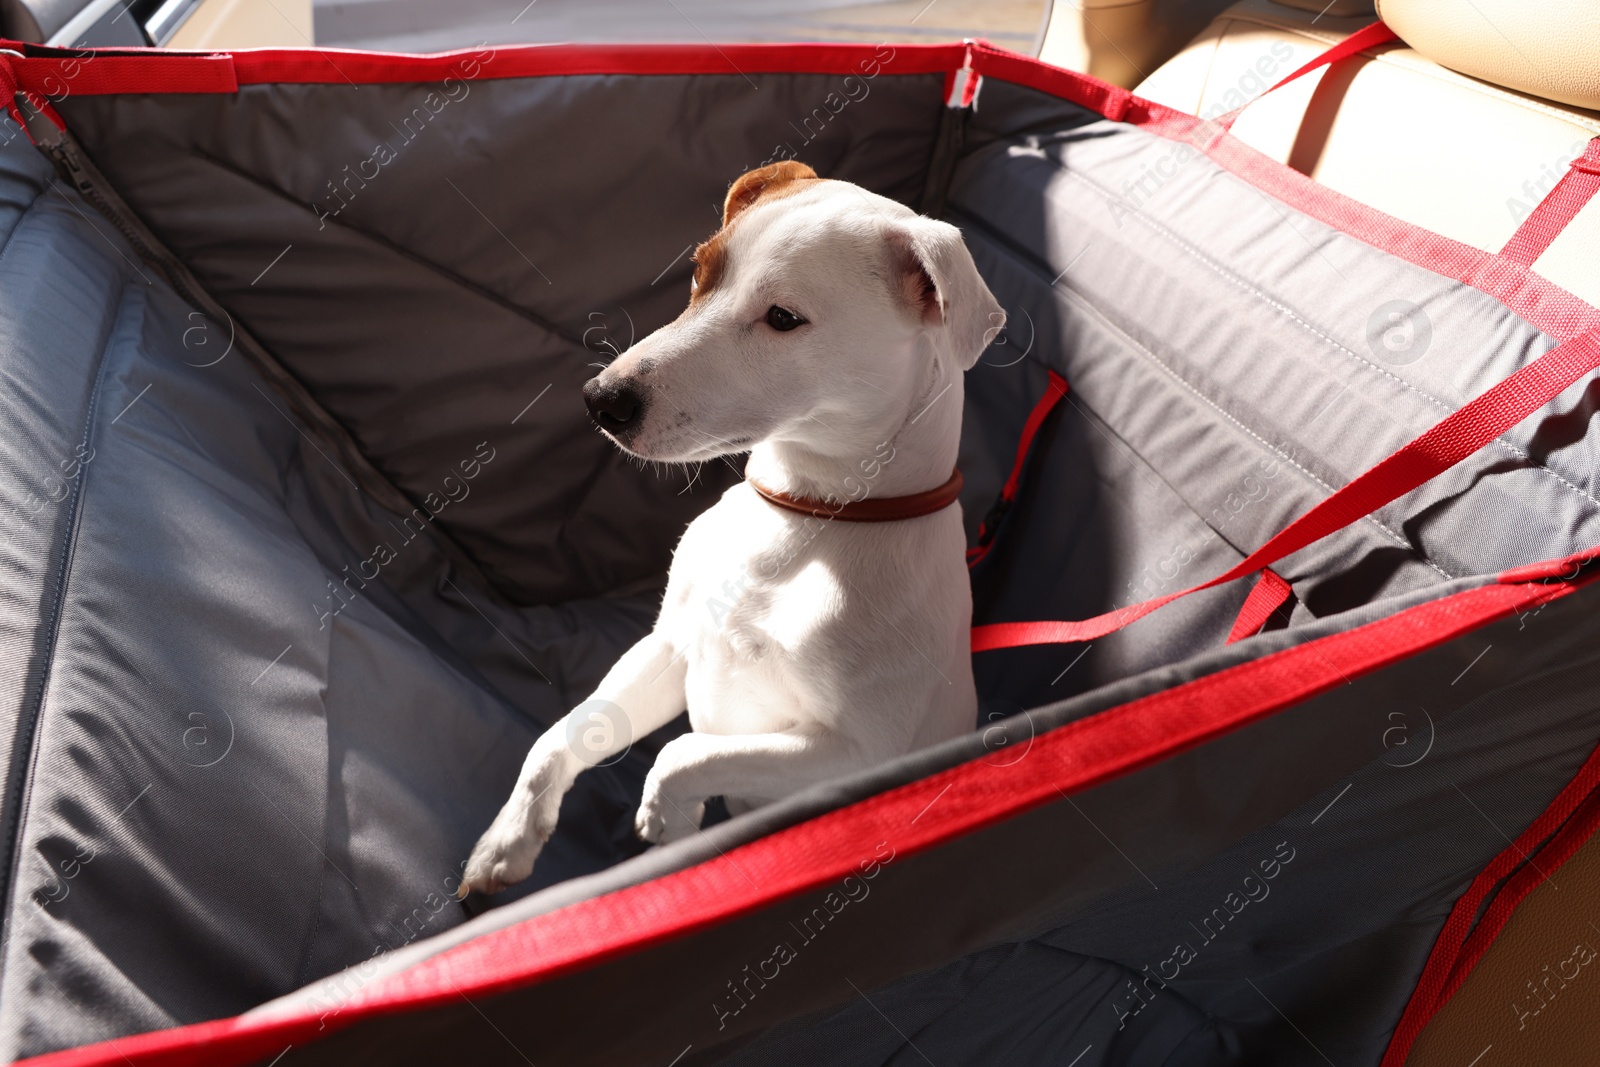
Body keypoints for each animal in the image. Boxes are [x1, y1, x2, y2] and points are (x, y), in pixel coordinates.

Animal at [464, 160, 1004, 895]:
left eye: (783, 318)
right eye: (699, 274)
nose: (602, 399)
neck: (804, 520)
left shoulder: (858, 753)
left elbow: (688, 752)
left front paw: (668, 818)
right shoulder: (670, 647)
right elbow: (563, 734)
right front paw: (508, 839)